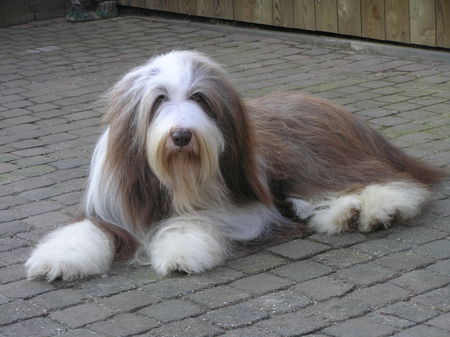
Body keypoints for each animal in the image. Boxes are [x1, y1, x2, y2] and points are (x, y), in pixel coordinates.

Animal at [23, 50, 440, 280]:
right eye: (159, 100)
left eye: (199, 98)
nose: (181, 136)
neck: (176, 181)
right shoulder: (110, 207)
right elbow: (88, 229)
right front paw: (57, 259)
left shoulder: (245, 208)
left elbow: (196, 221)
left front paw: (179, 252)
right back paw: (342, 214)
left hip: (318, 163)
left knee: (391, 183)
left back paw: (380, 209)